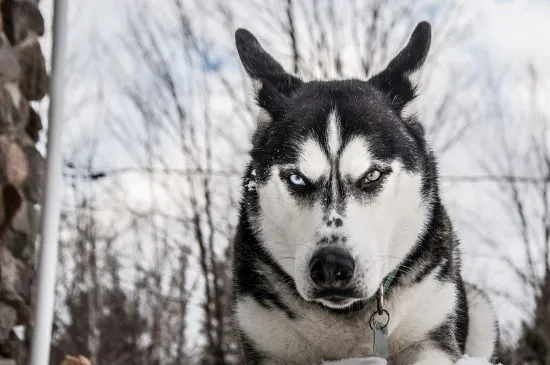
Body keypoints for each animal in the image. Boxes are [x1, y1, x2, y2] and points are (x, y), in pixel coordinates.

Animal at [233, 21, 500, 362]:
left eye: (372, 175)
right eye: (297, 179)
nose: (331, 266)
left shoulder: (430, 338)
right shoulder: (268, 344)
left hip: (480, 309)